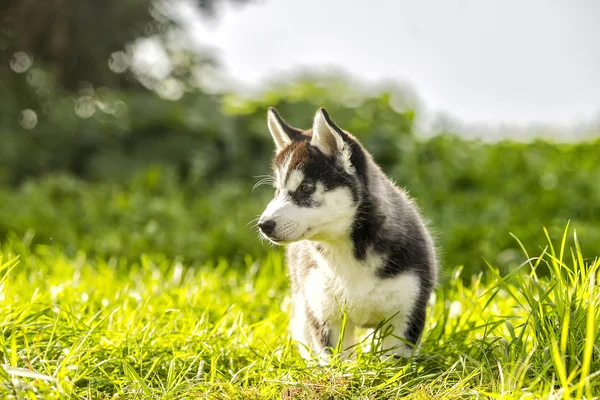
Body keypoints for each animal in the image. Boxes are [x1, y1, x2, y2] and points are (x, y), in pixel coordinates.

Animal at [256, 107, 436, 362]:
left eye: (306, 188)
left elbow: (393, 363)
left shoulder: (405, 316)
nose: (264, 225)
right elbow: (335, 362)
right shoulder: (325, 317)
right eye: (277, 190)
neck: (346, 252)